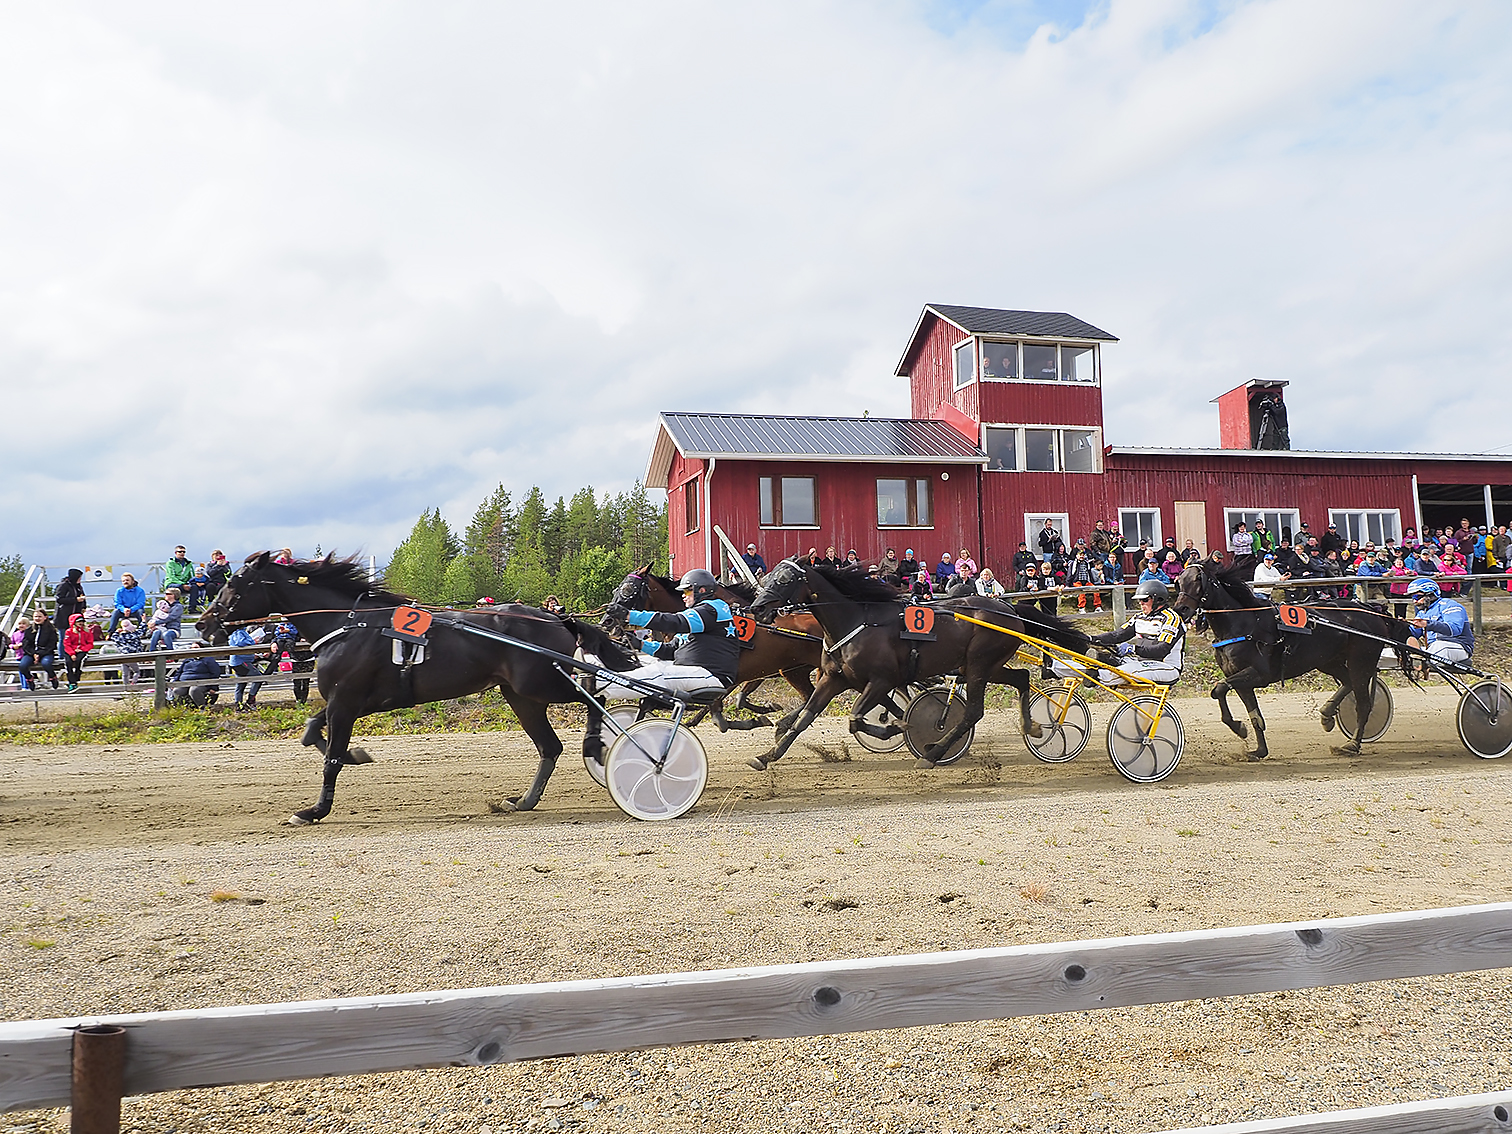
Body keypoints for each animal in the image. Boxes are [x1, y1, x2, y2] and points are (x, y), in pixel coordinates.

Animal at [196, 553, 638, 828]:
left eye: (237, 583)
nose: (203, 622)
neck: (348, 624)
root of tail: (555, 617)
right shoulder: (351, 701)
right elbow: (311, 732)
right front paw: (357, 754)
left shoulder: (345, 702)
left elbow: (331, 759)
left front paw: (314, 809)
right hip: (521, 695)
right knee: (550, 746)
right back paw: (523, 800)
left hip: (540, 683)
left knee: (594, 694)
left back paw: (596, 743)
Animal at [595, 571, 822, 731]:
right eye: (616, 590)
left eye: (628, 590)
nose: (606, 621)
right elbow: (731, 704)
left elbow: (722, 711)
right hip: (796, 670)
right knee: (810, 694)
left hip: (794, 670)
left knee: (811, 695)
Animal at [740, 562, 1088, 774]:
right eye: (767, 577)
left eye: (785, 579)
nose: (757, 607)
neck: (856, 621)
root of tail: (1009, 608)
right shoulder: (834, 679)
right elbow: (805, 719)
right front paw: (767, 756)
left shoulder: (882, 680)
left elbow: (855, 718)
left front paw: (896, 727)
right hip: (988, 665)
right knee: (1021, 677)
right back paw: (1032, 726)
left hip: (979, 664)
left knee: (974, 711)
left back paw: (932, 754)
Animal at [1173, 562, 1409, 759]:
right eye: (1179, 580)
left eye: (1198, 579)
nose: (1181, 609)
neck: (1243, 622)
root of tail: (1371, 611)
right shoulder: (1239, 679)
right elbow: (1251, 713)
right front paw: (1258, 749)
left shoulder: (1258, 674)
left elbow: (1219, 688)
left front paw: (1239, 728)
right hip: (1328, 661)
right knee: (1347, 682)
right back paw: (1327, 715)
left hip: (1361, 661)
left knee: (1364, 703)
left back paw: (1352, 745)